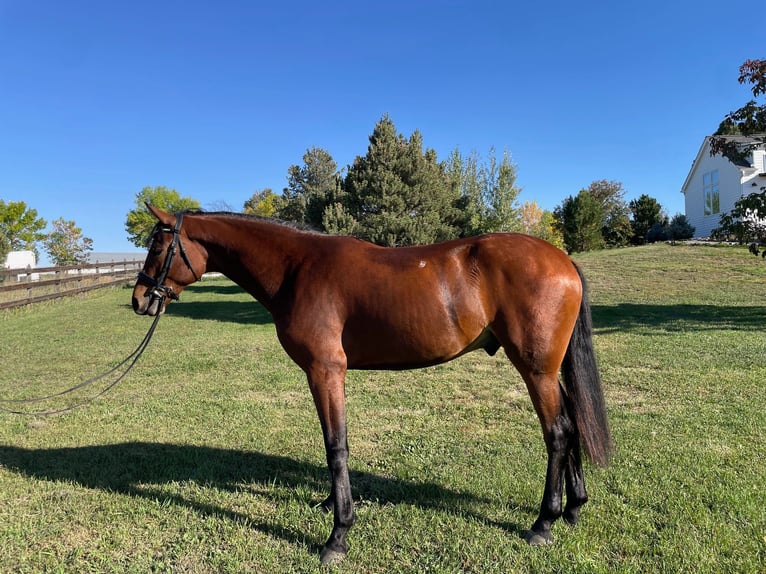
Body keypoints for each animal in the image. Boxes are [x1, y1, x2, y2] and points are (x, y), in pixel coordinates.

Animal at [132, 206, 612, 564]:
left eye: (157, 244)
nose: (139, 299)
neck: (296, 268)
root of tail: (563, 260)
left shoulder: (325, 370)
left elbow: (336, 446)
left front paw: (337, 535)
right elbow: (334, 444)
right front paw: (330, 505)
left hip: (536, 371)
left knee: (558, 433)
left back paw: (544, 523)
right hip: (548, 371)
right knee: (572, 425)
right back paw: (573, 509)